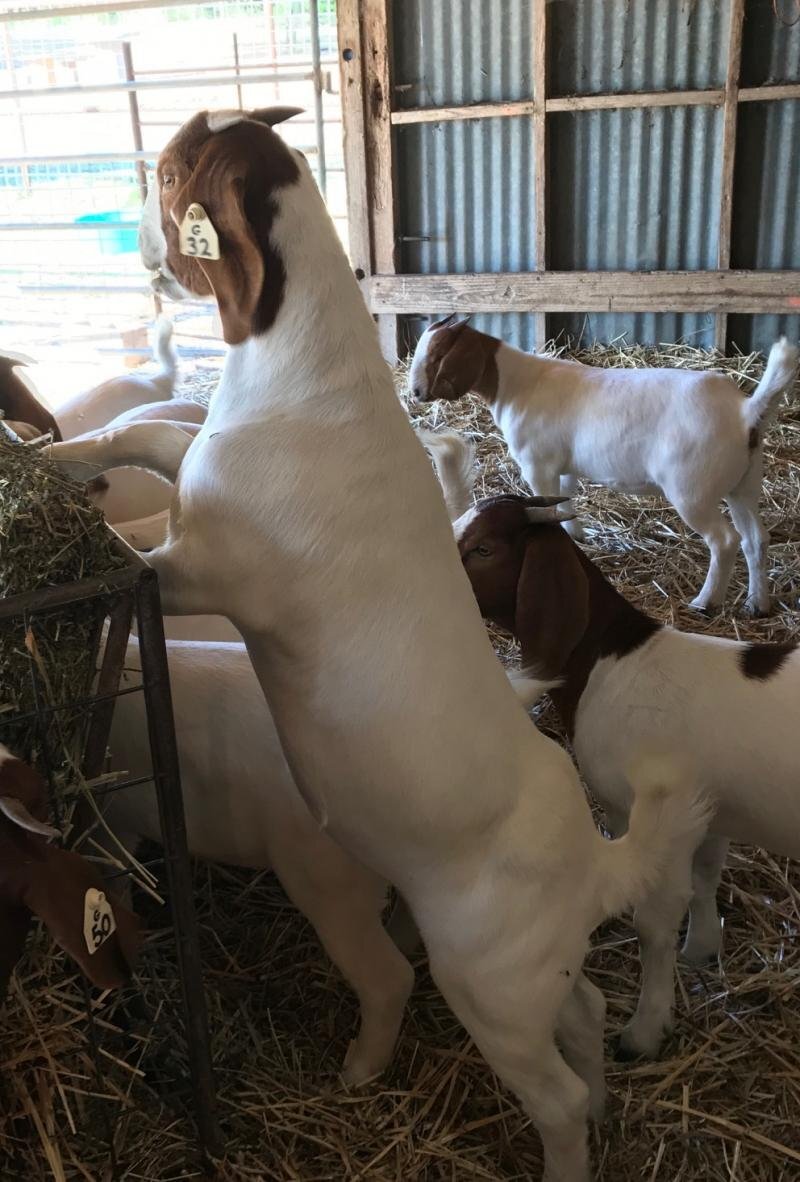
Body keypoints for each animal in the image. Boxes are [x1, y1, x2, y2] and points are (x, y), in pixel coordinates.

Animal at [50, 107, 707, 1179]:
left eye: (173, 170)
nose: (138, 244)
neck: (314, 384)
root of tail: (594, 866)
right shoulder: (193, 475)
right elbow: (144, 446)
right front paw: (53, 456)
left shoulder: (208, 569)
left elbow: (136, 554)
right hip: (542, 974)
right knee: (583, 1011)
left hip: (489, 985)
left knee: (552, 1093)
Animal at [409, 318, 799, 616]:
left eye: (438, 355)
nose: (414, 392)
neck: (515, 384)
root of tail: (744, 412)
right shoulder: (563, 466)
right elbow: (564, 500)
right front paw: (577, 537)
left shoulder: (537, 463)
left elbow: (547, 503)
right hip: (744, 484)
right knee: (755, 539)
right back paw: (757, 605)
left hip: (693, 489)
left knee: (724, 540)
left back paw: (705, 602)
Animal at [444, 482, 799, 1060]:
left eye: (483, 549)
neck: (611, 662)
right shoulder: (710, 811)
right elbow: (706, 876)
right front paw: (702, 948)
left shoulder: (660, 811)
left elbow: (654, 923)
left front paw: (643, 1030)